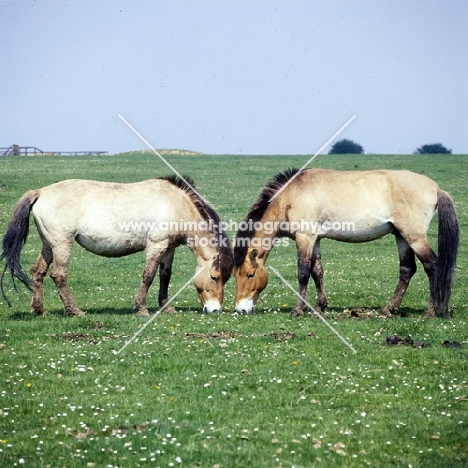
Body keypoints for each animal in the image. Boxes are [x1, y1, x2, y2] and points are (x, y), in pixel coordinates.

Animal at [0, 176, 234, 318]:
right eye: (214, 277)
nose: (215, 309)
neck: (176, 204)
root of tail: (41, 192)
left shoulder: (169, 248)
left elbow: (164, 276)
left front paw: (166, 306)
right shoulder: (156, 245)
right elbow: (148, 275)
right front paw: (142, 309)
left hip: (48, 245)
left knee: (38, 271)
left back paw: (39, 310)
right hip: (62, 244)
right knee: (58, 274)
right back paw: (74, 311)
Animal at [232, 168, 458, 318]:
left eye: (250, 274)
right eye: (235, 276)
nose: (240, 309)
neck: (291, 196)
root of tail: (436, 188)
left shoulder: (305, 237)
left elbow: (303, 273)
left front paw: (298, 309)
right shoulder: (315, 239)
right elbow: (317, 272)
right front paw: (320, 306)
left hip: (415, 237)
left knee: (432, 266)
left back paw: (433, 310)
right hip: (401, 236)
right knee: (407, 270)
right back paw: (389, 309)